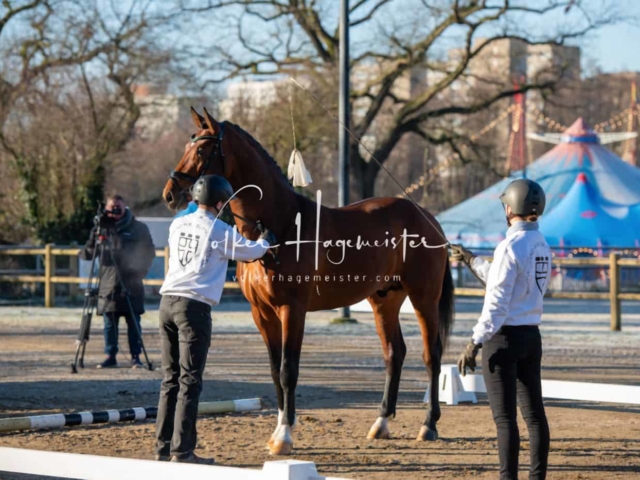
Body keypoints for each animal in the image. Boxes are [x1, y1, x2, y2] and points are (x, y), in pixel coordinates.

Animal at [165, 107, 456, 456]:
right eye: (186, 145)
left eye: (201, 150)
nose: (170, 194)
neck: (279, 225)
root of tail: (427, 217)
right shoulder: (262, 313)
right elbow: (275, 370)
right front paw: (278, 430)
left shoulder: (293, 309)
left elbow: (289, 370)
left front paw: (284, 436)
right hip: (384, 300)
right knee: (394, 353)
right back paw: (381, 423)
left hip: (424, 298)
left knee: (431, 355)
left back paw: (429, 425)